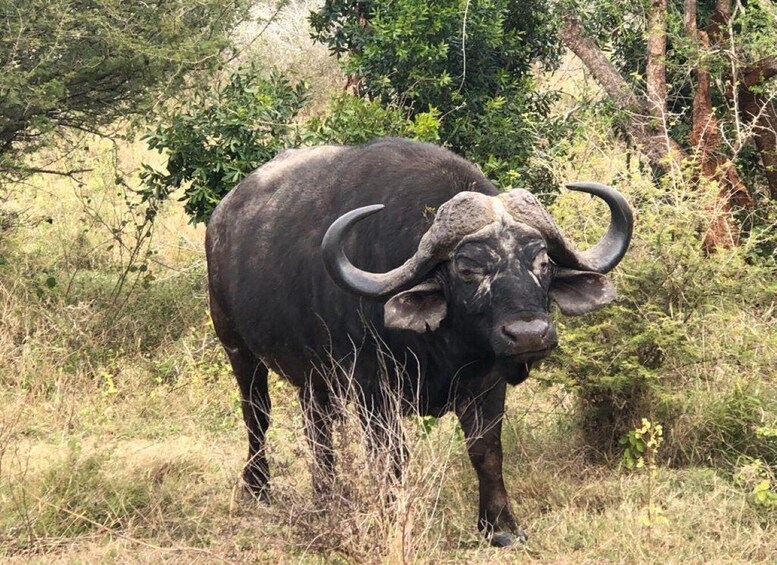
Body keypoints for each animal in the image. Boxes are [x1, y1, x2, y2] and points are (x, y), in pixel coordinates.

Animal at [205, 137, 633, 546]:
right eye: (467, 268)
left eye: (542, 262)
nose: (529, 333)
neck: (444, 348)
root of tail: (222, 217)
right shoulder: (375, 391)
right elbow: (391, 458)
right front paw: (392, 515)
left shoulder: (487, 383)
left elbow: (486, 450)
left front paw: (500, 526)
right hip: (237, 348)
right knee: (257, 415)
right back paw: (258, 487)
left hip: (314, 378)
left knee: (319, 430)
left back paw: (328, 495)